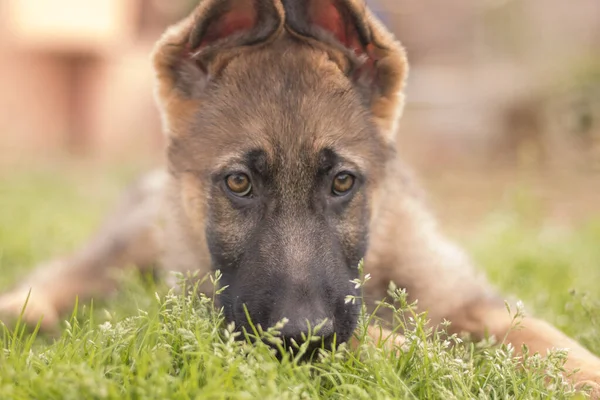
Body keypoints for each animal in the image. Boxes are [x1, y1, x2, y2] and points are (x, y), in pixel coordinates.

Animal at [1, 0, 600, 394]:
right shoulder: (234, 318)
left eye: (343, 183)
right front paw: (474, 366)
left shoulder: (467, 299)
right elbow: (430, 351)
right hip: (128, 250)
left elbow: (553, 344)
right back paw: (22, 315)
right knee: (67, 274)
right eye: (238, 183)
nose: (300, 336)